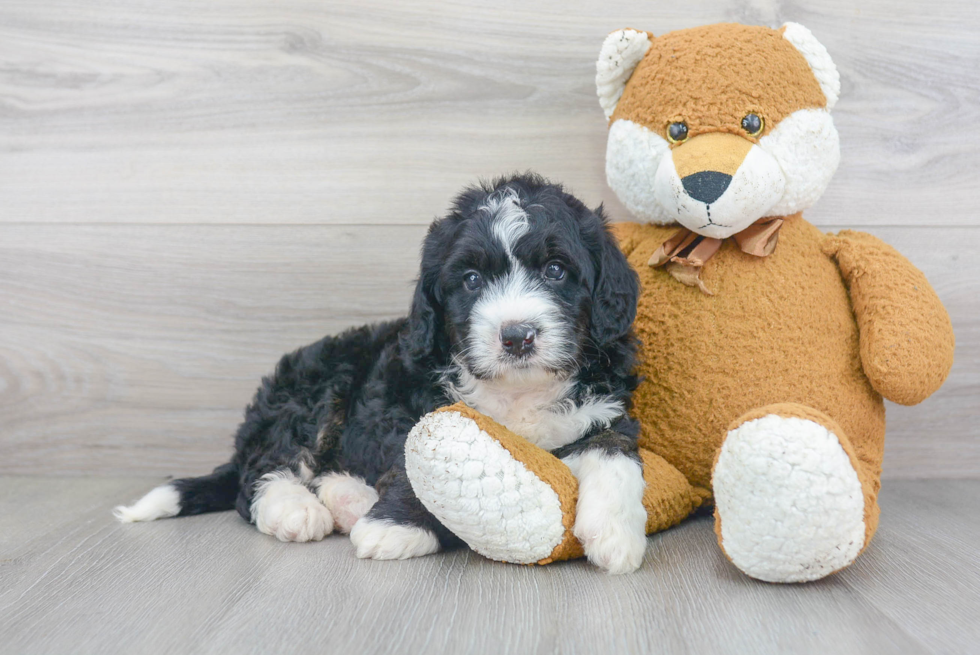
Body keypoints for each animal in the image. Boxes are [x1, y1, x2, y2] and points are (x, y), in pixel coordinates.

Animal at [115, 174, 648, 576]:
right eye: (471, 280)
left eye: (556, 270)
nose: (516, 336)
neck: (517, 393)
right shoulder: (413, 406)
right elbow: (416, 463)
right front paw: (396, 527)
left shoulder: (604, 409)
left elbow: (616, 453)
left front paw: (617, 535)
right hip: (316, 386)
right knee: (261, 473)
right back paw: (295, 508)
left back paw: (347, 496)